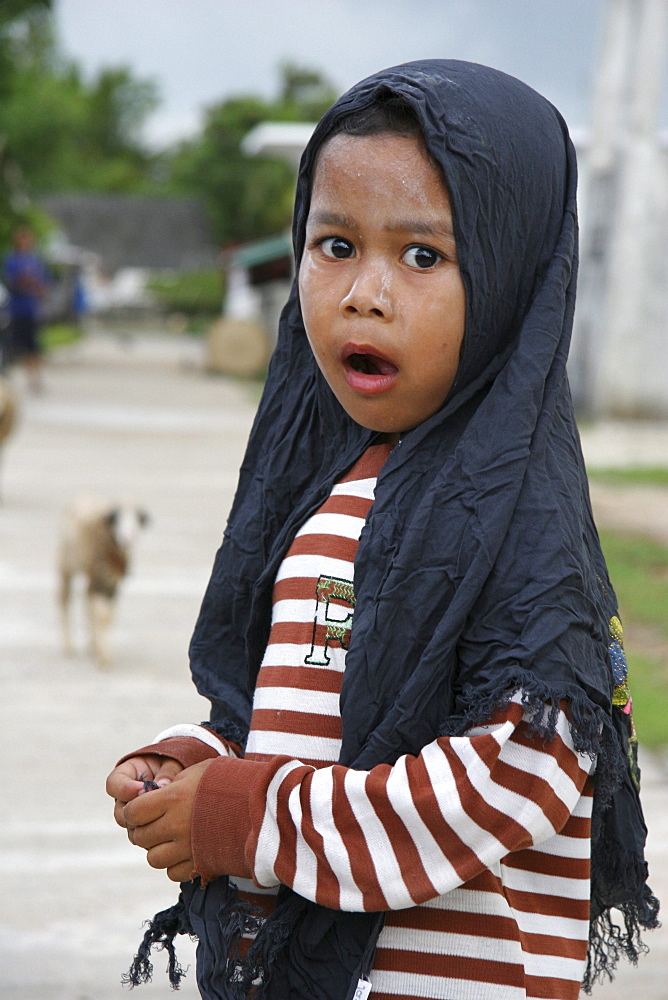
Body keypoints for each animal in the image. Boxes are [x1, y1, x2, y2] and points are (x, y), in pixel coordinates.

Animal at [58, 496, 149, 668]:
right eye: (117, 519)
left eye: (136, 521)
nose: (128, 539)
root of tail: (82, 496)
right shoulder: (99, 580)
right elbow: (102, 617)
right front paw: (104, 659)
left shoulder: (112, 584)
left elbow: (109, 616)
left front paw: (102, 652)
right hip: (65, 566)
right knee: (64, 599)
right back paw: (68, 646)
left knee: (86, 601)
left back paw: (91, 645)